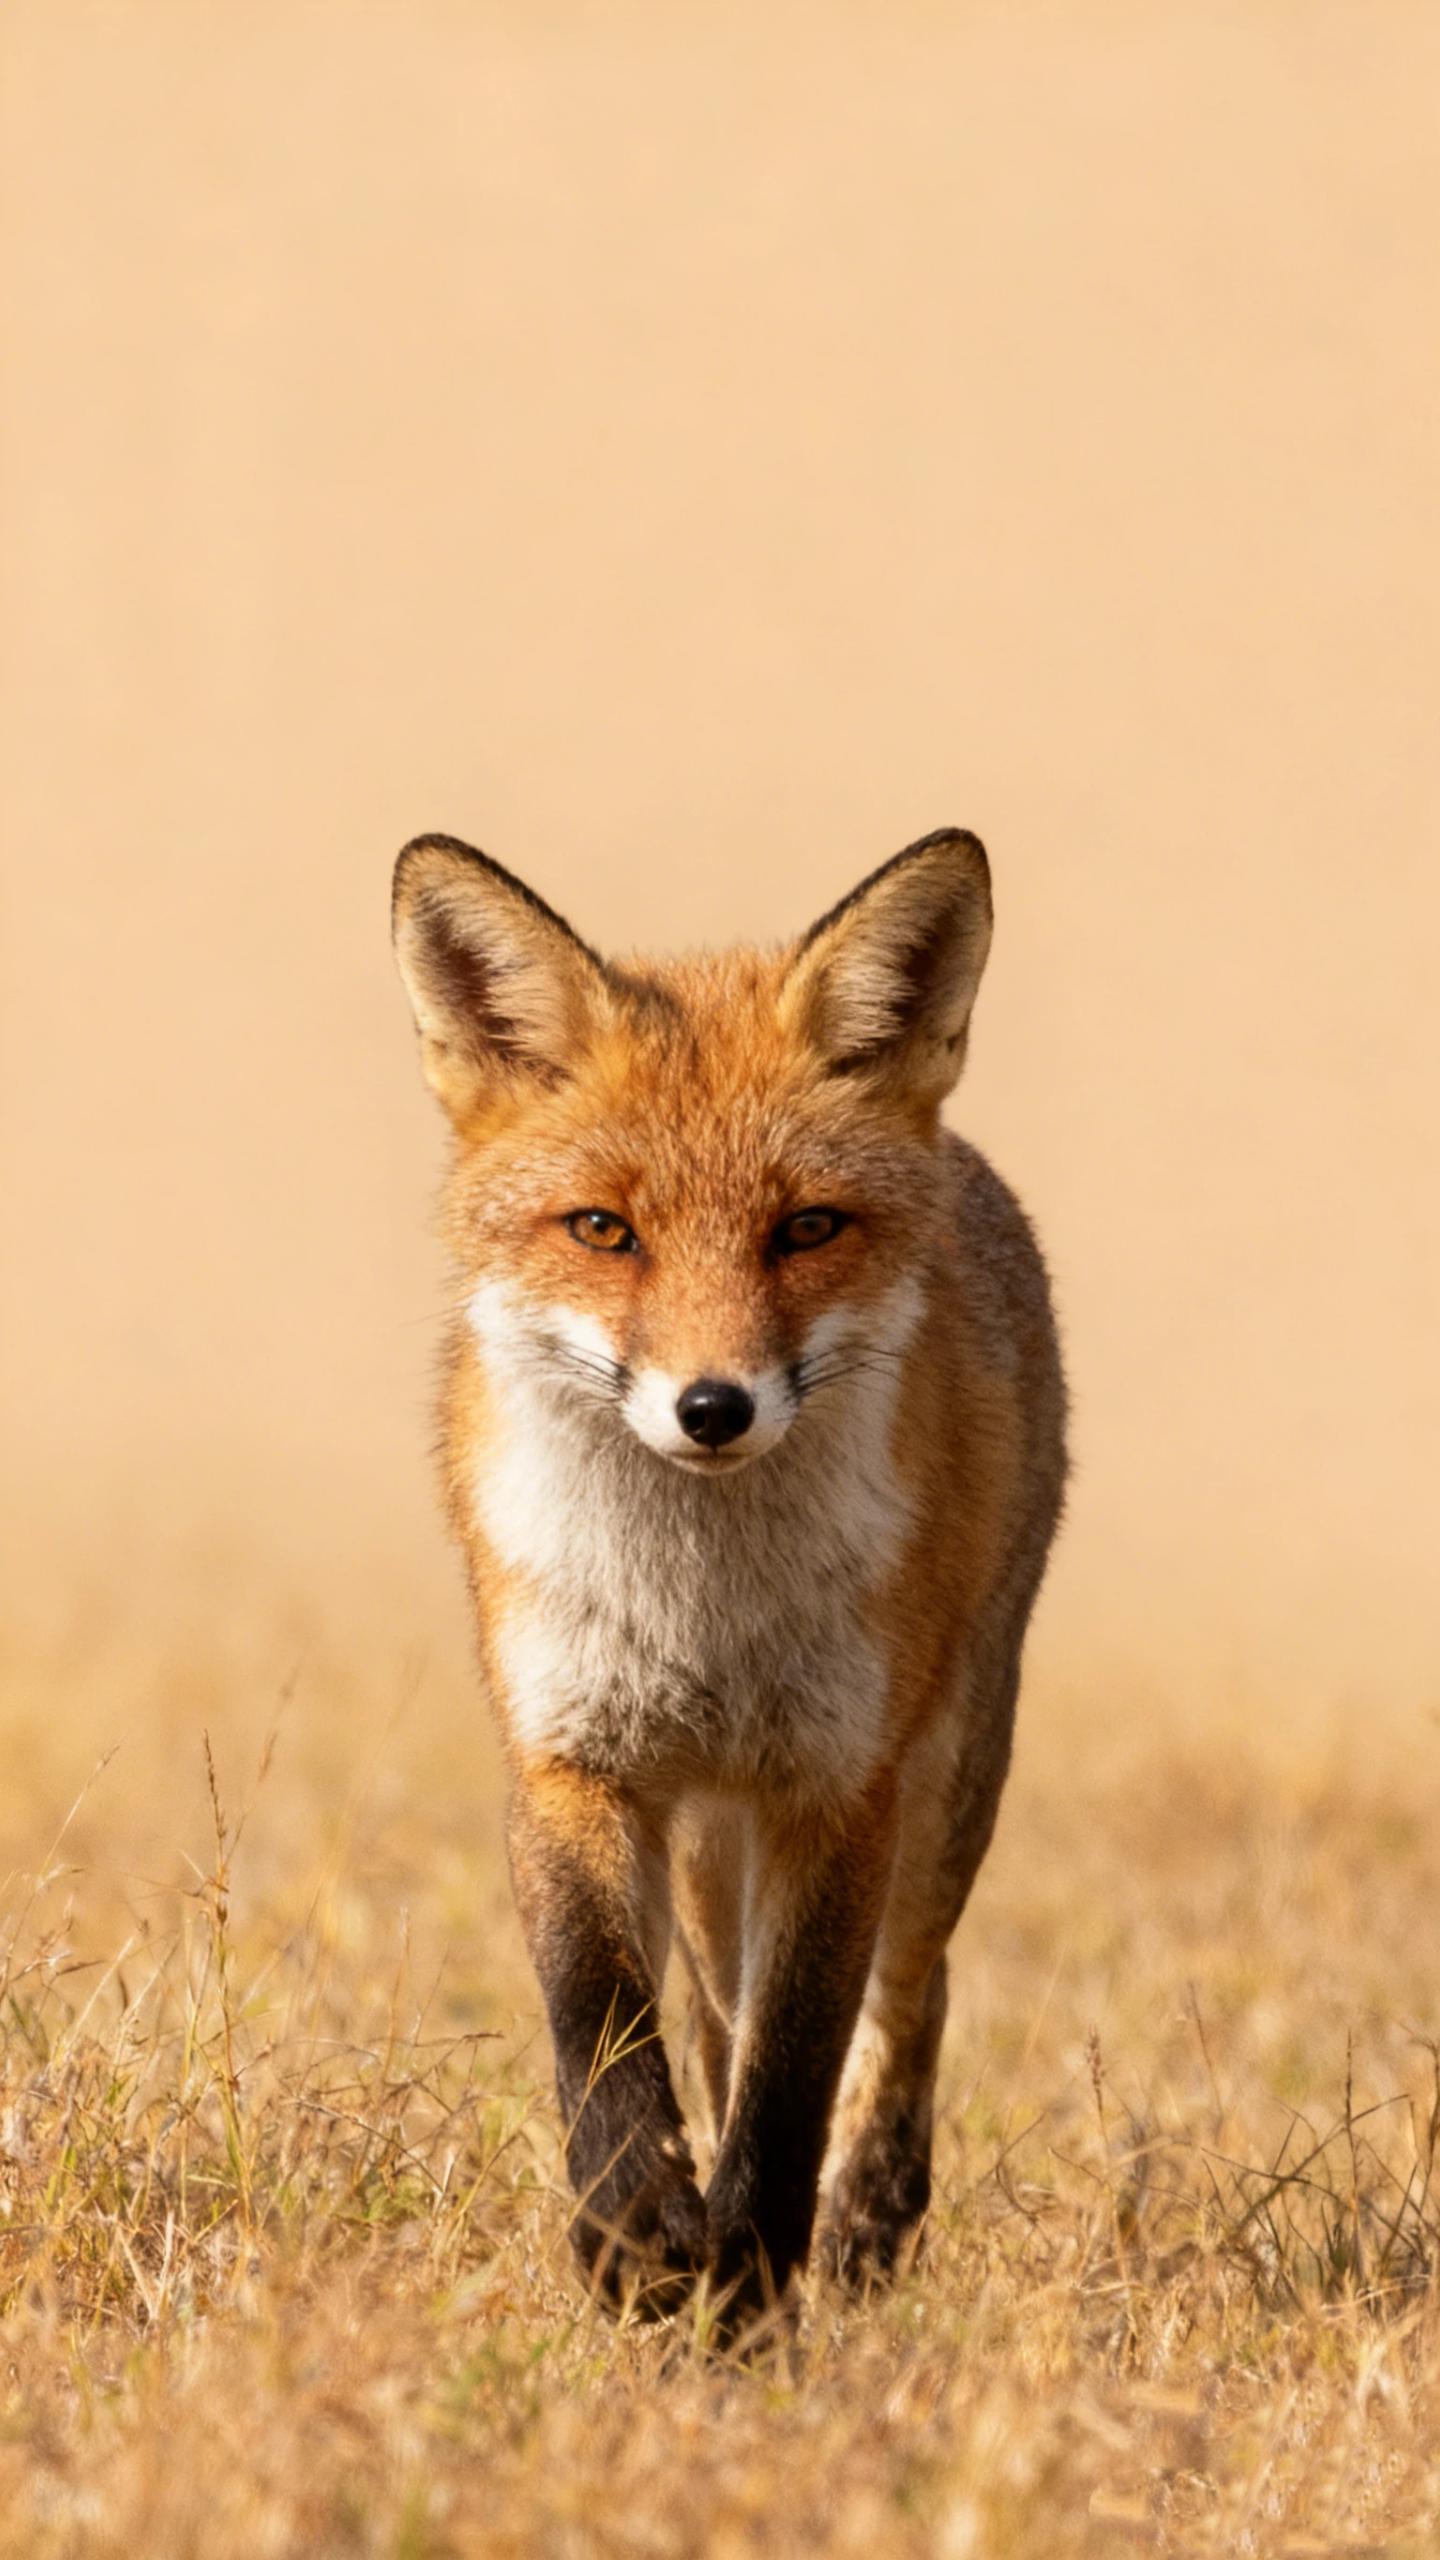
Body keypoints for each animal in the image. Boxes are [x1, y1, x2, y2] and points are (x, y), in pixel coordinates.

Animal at [391, 825, 1067, 2338]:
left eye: (806, 1228)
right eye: (604, 1229)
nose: (713, 1408)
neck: (698, 1614)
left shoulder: (837, 1785)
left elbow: (792, 2076)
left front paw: (749, 2297)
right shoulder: (570, 1757)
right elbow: (603, 2024)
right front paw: (635, 2229)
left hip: (953, 1774)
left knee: (910, 1997)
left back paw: (869, 2225)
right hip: (708, 1834)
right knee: (704, 2017)